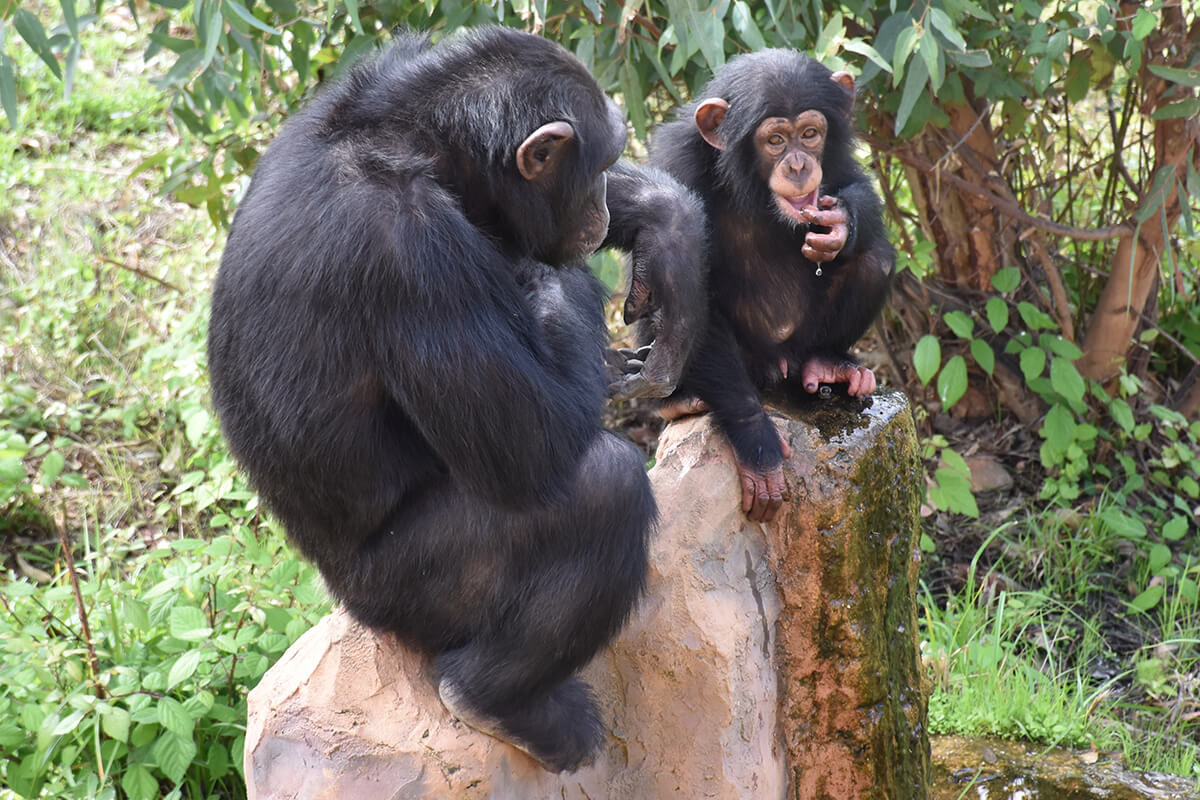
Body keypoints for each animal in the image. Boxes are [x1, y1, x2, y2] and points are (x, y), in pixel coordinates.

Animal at [205, 28, 700, 772]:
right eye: (600, 164)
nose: (605, 207)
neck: (416, 149)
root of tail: (343, 596)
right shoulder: (412, 255)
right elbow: (530, 444)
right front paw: (541, 276)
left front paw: (667, 230)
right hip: (413, 593)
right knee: (602, 485)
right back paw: (498, 702)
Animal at [652, 50, 897, 525]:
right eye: (776, 140)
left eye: (810, 134)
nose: (799, 165)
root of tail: (781, 361)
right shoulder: (678, 166)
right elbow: (689, 293)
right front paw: (758, 445)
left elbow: (857, 184)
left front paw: (841, 224)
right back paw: (683, 400)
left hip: (804, 343)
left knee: (875, 257)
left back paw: (829, 365)